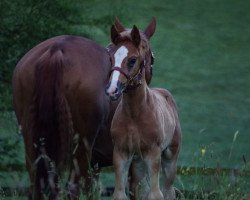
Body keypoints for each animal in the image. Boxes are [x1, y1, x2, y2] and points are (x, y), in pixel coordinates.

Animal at [105, 18, 182, 199]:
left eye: (133, 59)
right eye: (111, 58)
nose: (112, 90)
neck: (135, 114)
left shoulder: (153, 154)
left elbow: (156, 194)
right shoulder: (121, 153)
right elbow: (120, 193)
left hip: (170, 159)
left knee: (168, 190)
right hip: (139, 163)